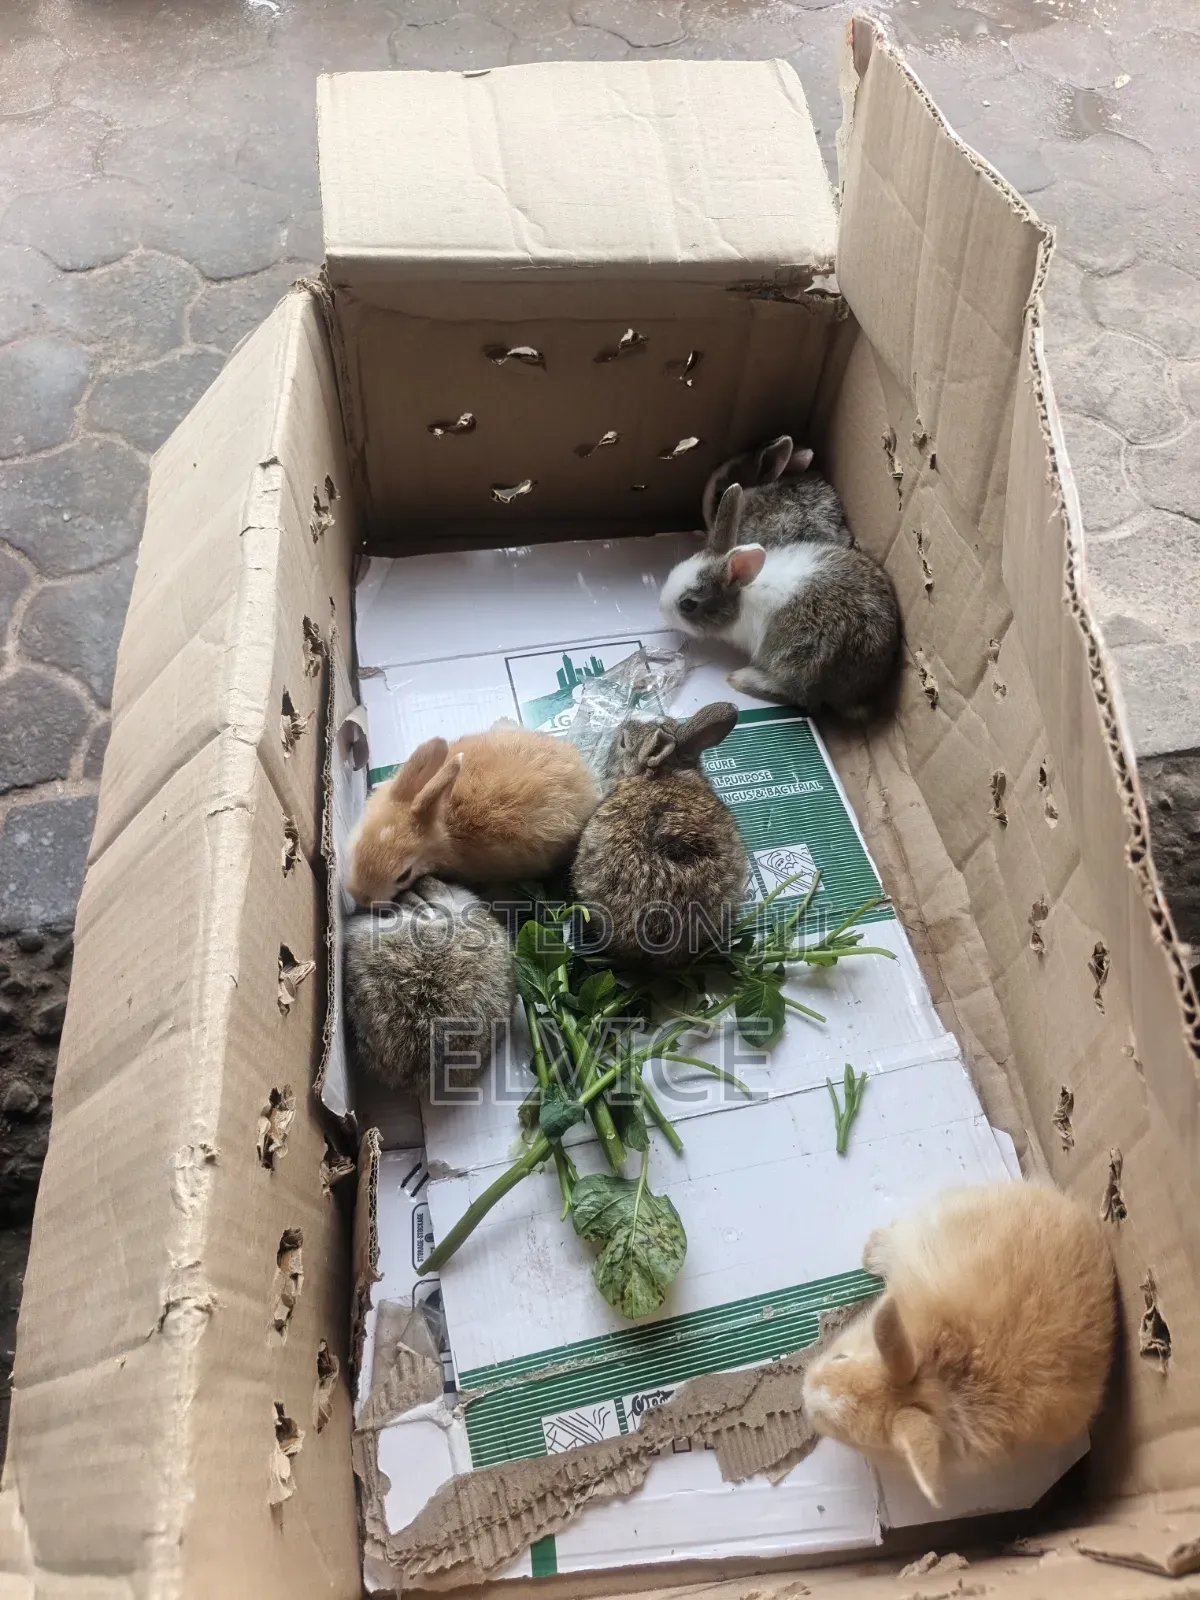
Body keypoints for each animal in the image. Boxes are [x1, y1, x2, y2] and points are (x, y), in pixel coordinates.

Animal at [659, 481, 902, 722]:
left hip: (801, 662)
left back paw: (740, 678)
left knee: (800, 697)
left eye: (688, 604)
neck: (741, 598)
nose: (661, 609)